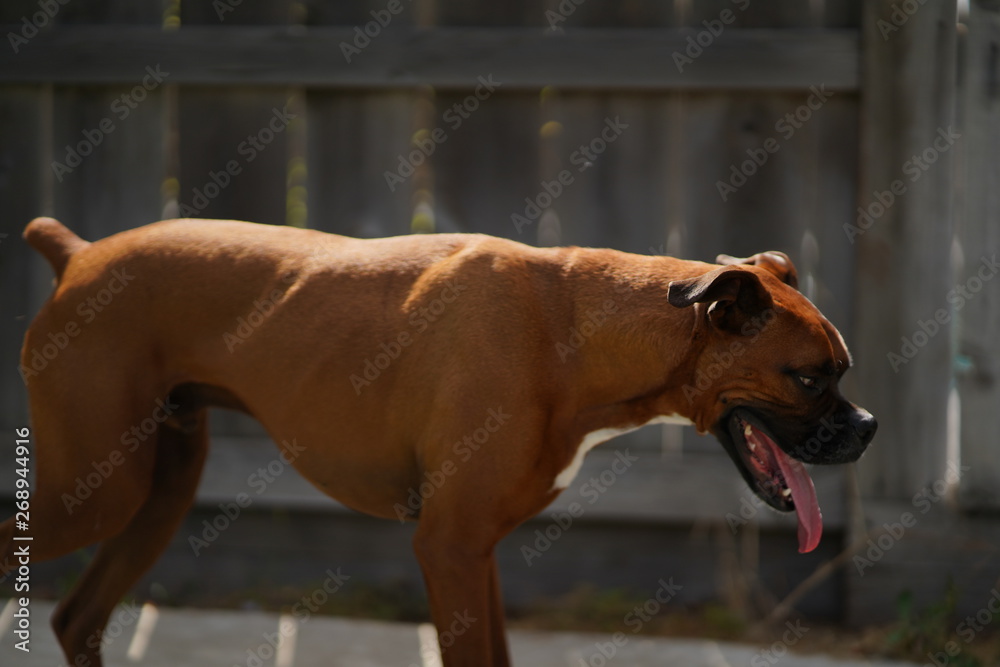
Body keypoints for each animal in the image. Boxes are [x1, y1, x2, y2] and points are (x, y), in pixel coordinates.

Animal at [1, 217, 876, 664]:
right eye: (809, 378)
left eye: (845, 371)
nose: (867, 428)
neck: (573, 332)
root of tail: (79, 254)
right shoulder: (449, 550)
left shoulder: (475, 553)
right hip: (96, 492)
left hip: (158, 490)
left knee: (77, 618)